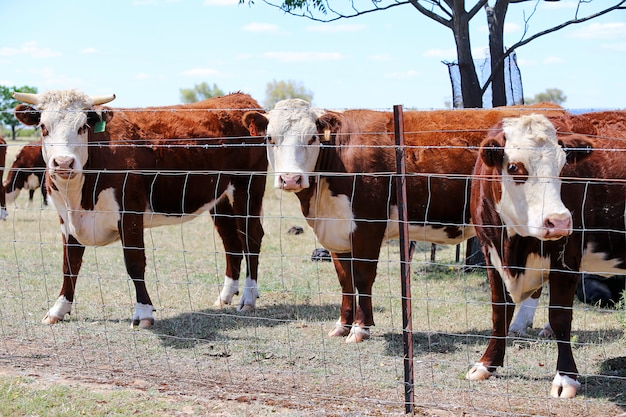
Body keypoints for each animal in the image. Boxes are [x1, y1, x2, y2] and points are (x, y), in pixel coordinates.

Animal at [12, 89, 266, 326]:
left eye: (82, 126)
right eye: (43, 127)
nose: (63, 163)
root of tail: (241, 98)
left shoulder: (130, 213)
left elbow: (134, 262)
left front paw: (143, 313)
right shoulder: (67, 219)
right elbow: (69, 263)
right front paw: (58, 309)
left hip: (248, 188)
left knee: (252, 237)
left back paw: (248, 298)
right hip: (220, 199)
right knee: (231, 242)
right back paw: (225, 296)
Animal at [466, 113, 620, 396]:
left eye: (562, 167)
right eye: (514, 167)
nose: (559, 221)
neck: (512, 243)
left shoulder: (566, 257)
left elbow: (559, 318)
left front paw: (565, 378)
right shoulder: (490, 253)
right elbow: (499, 312)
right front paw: (486, 364)